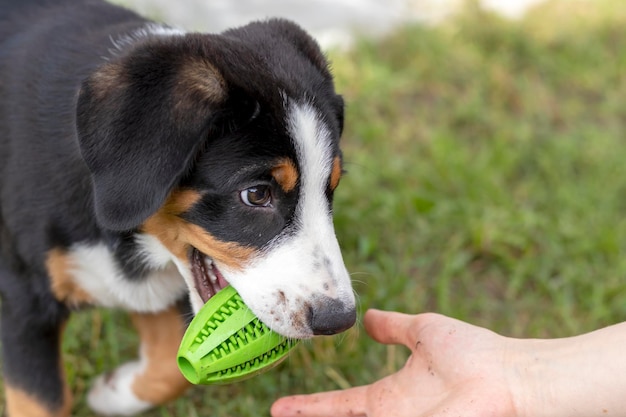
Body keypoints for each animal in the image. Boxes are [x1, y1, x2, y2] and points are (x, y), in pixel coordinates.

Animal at [0, 0, 354, 412]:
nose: (339, 319)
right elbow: (40, 401)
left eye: (331, 187)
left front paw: (111, 393)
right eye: (256, 194)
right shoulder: (24, 298)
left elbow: (172, 369)